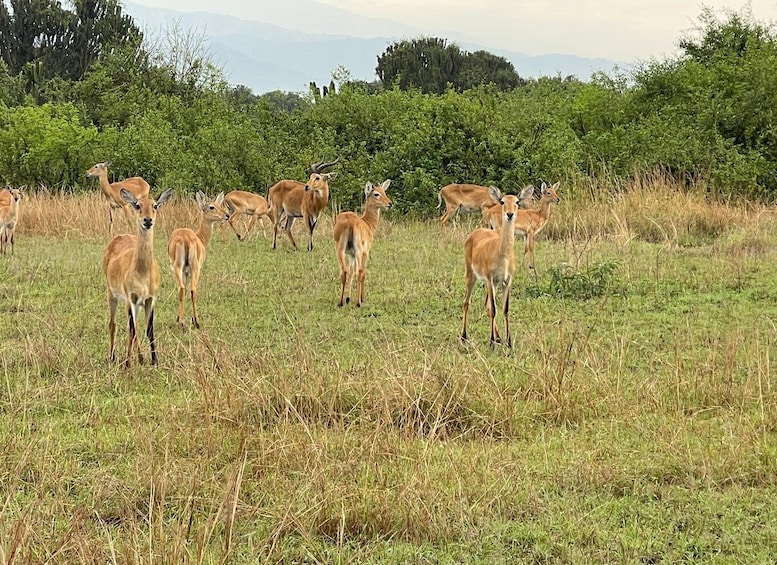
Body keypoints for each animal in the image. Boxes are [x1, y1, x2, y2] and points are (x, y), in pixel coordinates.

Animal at [102, 187, 174, 368]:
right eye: (137, 205)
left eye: (155, 205)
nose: (147, 220)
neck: (143, 273)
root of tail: (118, 237)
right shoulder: (130, 298)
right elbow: (132, 329)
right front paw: (128, 363)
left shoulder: (150, 299)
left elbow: (148, 329)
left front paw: (154, 361)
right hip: (112, 295)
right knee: (113, 324)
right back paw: (112, 357)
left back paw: (140, 358)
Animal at [168, 191, 229, 328]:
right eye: (211, 207)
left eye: (219, 204)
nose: (227, 215)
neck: (200, 237)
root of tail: (185, 239)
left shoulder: (185, 271)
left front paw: (178, 318)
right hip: (195, 268)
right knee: (193, 290)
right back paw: (196, 322)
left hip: (178, 267)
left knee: (182, 289)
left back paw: (182, 322)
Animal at [334, 178, 394, 306]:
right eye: (376, 193)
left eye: (384, 191)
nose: (389, 203)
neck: (367, 224)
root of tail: (349, 222)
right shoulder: (366, 252)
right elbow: (363, 272)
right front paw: (361, 298)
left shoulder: (351, 254)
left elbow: (351, 272)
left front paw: (348, 298)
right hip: (359, 251)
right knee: (360, 272)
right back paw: (358, 302)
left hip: (340, 249)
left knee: (344, 271)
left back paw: (340, 302)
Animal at [458, 185, 520, 346]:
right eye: (502, 201)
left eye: (517, 201)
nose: (509, 214)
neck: (503, 255)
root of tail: (474, 233)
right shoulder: (490, 279)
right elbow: (494, 309)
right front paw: (491, 342)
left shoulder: (507, 280)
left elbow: (505, 309)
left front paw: (508, 341)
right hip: (471, 276)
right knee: (466, 302)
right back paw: (464, 336)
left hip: (494, 284)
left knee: (486, 305)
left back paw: (498, 338)